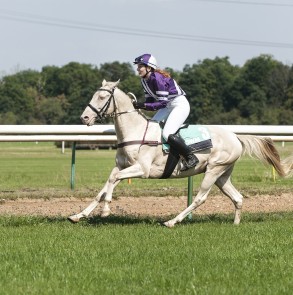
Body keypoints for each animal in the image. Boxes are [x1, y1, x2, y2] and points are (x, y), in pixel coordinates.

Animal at [68, 80, 290, 228]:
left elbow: (113, 181)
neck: (135, 131)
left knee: (200, 198)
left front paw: (106, 211)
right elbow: (105, 186)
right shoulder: (122, 166)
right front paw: (79, 215)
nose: (84, 117)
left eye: (102, 97)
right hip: (222, 174)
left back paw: (172, 221)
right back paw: (235, 224)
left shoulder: (142, 169)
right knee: (237, 197)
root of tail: (235, 136)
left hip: (213, 170)